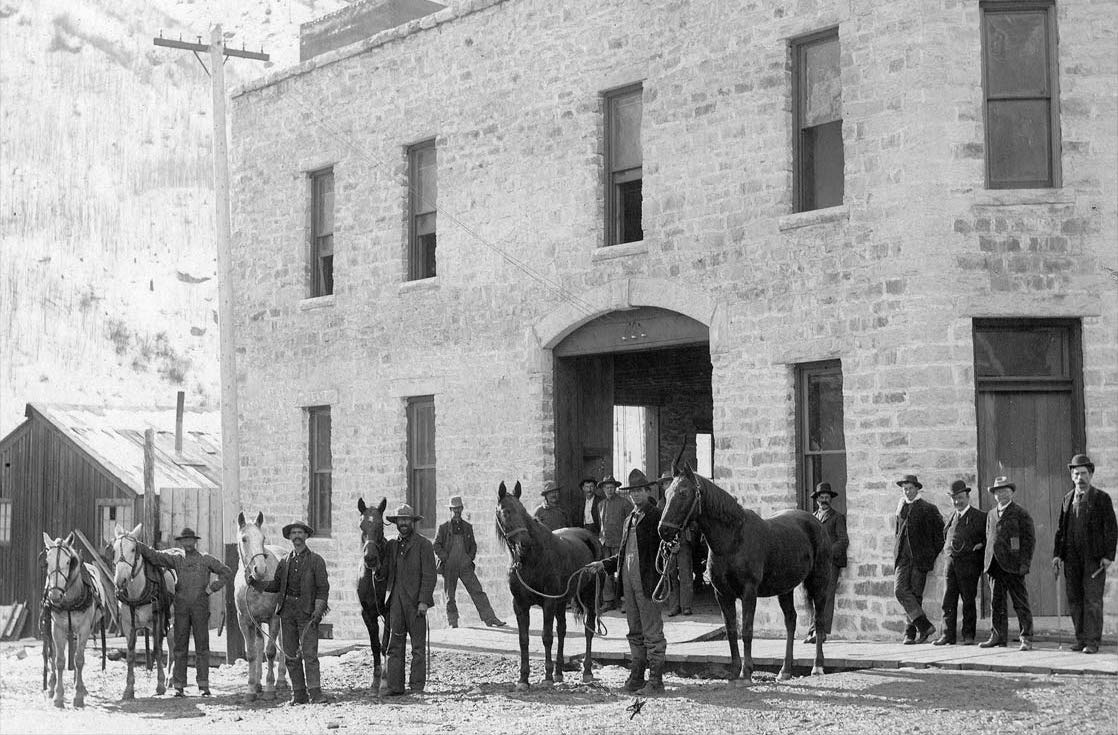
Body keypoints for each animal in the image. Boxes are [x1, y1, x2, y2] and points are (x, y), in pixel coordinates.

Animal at [40, 530, 111, 707]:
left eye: (68, 562)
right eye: (47, 561)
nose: (55, 595)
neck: (69, 599)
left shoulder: (84, 628)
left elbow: (79, 659)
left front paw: (78, 695)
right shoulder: (57, 628)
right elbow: (59, 660)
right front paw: (58, 696)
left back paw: (79, 686)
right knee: (52, 654)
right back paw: (51, 686)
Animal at [109, 521, 174, 698]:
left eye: (133, 549)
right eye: (114, 550)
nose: (121, 581)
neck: (137, 592)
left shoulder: (158, 621)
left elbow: (157, 650)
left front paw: (160, 685)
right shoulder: (128, 625)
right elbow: (130, 654)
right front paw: (129, 689)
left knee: (172, 643)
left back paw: (170, 678)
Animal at [233, 510, 288, 698]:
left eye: (263, 538)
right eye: (244, 539)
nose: (260, 569)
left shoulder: (273, 619)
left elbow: (271, 652)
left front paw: (270, 688)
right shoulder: (245, 621)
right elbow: (251, 653)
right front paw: (251, 689)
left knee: (281, 644)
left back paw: (281, 681)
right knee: (258, 645)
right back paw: (257, 683)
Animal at [498, 478, 603, 689]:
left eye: (522, 510)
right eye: (505, 511)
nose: (523, 543)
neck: (530, 559)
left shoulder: (548, 602)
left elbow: (546, 637)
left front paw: (546, 677)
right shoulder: (520, 604)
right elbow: (524, 639)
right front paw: (523, 679)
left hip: (588, 596)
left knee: (588, 630)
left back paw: (587, 672)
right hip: (561, 601)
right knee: (562, 630)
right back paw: (559, 672)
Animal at [652, 465, 831, 680]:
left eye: (683, 493)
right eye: (667, 493)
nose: (664, 531)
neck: (732, 541)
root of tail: (817, 522)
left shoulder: (748, 592)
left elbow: (746, 630)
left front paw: (746, 672)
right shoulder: (722, 594)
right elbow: (731, 631)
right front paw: (734, 671)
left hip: (819, 582)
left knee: (819, 620)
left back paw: (817, 666)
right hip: (785, 589)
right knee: (791, 621)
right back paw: (785, 670)